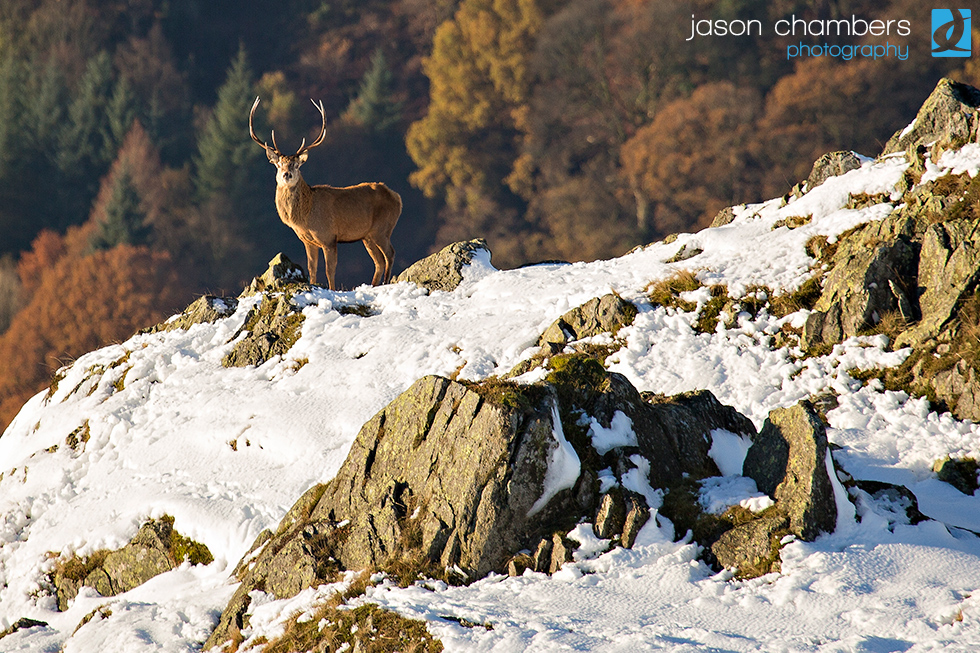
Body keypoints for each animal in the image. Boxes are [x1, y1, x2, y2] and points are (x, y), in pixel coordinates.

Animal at [249, 96, 402, 290]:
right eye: (279, 164)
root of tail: (397, 197)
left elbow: (330, 270)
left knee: (390, 254)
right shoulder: (308, 241)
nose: (287, 174)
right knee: (379, 261)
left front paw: (332, 289)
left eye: (296, 165)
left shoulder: (328, 237)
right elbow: (312, 269)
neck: (305, 217)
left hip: (382, 228)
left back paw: (385, 282)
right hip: (367, 236)